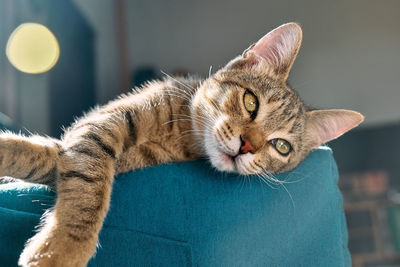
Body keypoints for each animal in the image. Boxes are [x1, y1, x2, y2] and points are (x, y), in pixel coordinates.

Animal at [0, 23, 362, 267]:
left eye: (282, 147)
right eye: (250, 102)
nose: (247, 146)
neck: (183, 135)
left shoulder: (91, 155)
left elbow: (63, 171)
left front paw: (58, 250)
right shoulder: (98, 126)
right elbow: (86, 185)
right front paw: (60, 249)